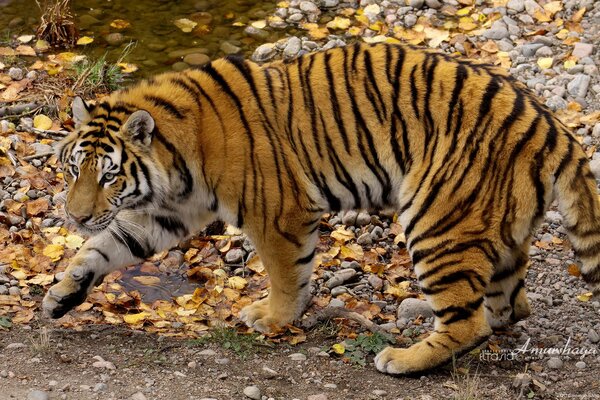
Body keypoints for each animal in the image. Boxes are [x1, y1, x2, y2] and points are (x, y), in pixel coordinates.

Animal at [42, 42, 600, 374]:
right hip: (495, 229)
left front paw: (272, 317)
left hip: (436, 221)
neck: (179, 157)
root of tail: (550, 125)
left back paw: (402, 359)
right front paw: (60, 295)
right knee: (509, 307)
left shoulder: (278, 213)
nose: (75, 216)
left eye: (109, 175)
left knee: (469, 322)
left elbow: (286, 274)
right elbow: (105, 248)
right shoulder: (168, 213)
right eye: (72, 170)